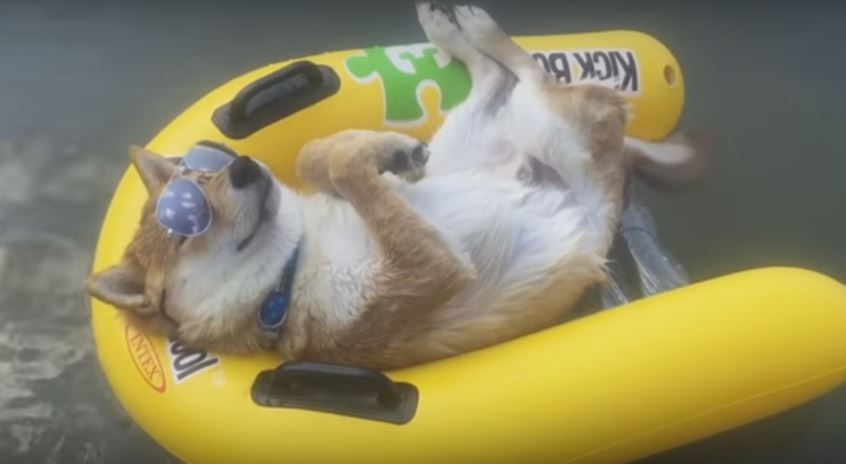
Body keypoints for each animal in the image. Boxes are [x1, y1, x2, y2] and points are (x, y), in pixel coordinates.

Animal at [86, 1, 704, 368]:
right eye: (188, 226)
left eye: (201, 174)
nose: (244, 168)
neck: (291, 270)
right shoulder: (433, 267)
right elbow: (343, 171)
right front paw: (369, 155)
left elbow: (317, 160)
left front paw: (379, 150)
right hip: (559, 130)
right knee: (526, 73)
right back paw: (474, 29)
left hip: (466, 141)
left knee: (494, 76)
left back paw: (452, 31)